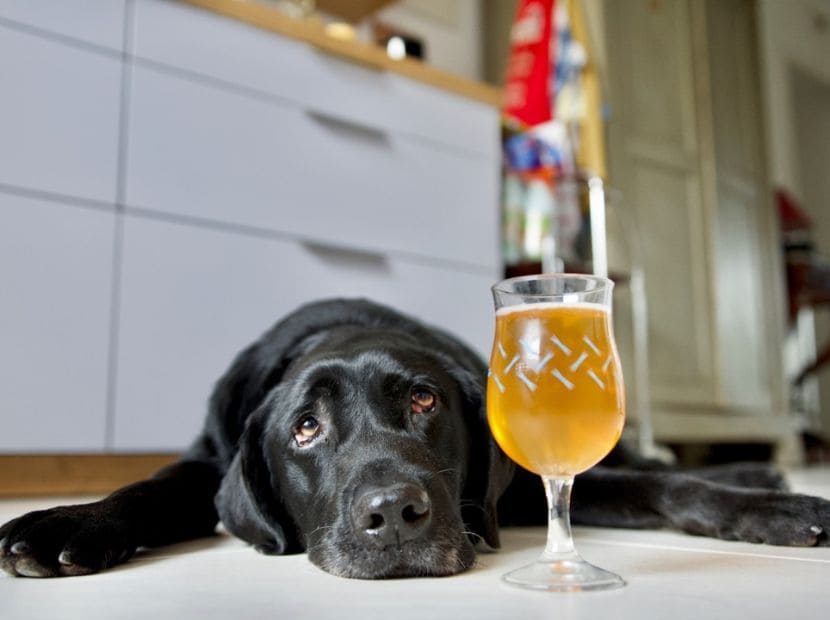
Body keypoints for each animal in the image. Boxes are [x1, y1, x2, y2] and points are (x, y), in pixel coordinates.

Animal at [1, 298, 830, 580]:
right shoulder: (207, 456)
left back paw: (762, 474)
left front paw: (778, 513)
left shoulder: (521, 481)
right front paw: (65, 524)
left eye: (424, 399)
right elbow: (150, 485)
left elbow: (665, 485)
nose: (394, 515)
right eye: (305, 428)